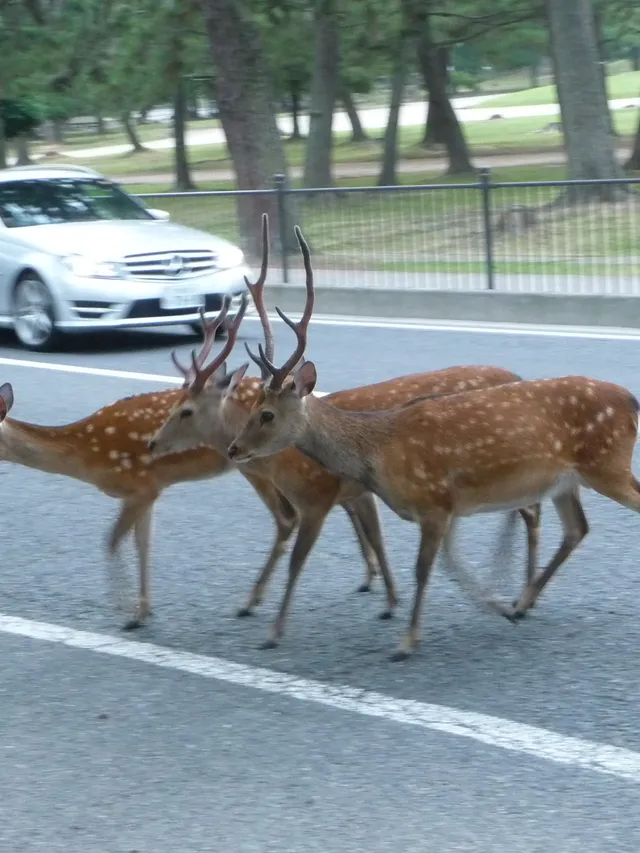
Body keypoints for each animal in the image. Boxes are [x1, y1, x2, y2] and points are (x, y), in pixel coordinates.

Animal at [149, 213, 544, 650]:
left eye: (184, 410)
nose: (152, 442)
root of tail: (516, 375)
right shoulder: (354, 493)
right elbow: (370, 536)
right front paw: (384, 596)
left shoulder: (324, 495)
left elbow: (308, 552)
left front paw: (268, 621)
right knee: (525, 508)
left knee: (532, 510)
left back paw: (522, 596)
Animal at [226, 223, 640, 661]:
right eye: (252, 405)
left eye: (266, 414)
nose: (233, 448)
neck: (378, 453)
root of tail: (631, 400)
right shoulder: (450, 504)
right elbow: (449, 562)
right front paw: (497, 607)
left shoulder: (433, 499)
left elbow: (423, 568)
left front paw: (406, 642)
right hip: (567, 479)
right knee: (576, 528)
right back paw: (523, 601)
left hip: (607, 462)